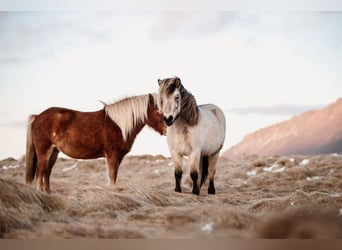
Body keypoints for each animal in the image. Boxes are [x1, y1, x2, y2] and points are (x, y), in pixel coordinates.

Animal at [26, 93, 166, 192]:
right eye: (158, 110)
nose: (167, 129)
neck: (118, 125)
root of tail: (37, 117)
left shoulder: (118, 157)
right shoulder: (112, 155)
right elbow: (112, 177)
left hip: (54, 152)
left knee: (47, 172)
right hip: (44, 152)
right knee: (40, 173)